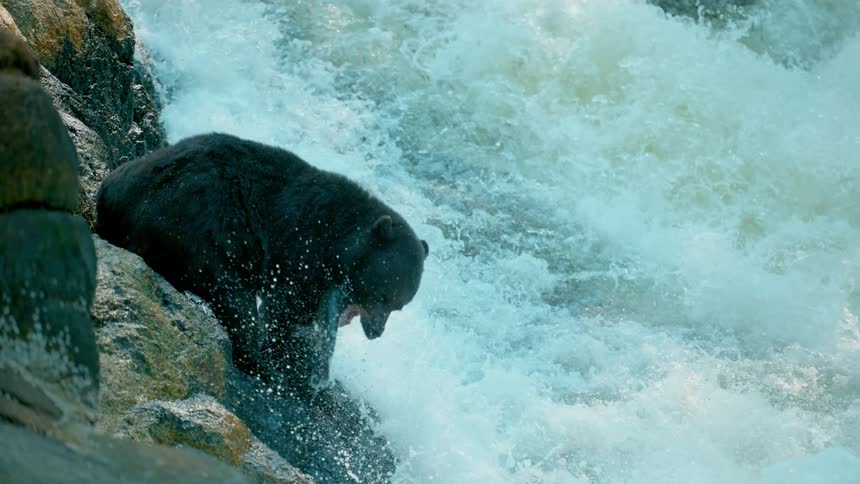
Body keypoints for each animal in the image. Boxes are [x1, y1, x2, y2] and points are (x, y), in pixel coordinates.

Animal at [96, 133, 429, 397]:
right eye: (383, 295)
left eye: (399, 306)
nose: (376, 331)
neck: (340, 240)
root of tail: (111, 195)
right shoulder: (300, 248)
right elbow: (285, 305)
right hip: (198, 221)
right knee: (232, 295)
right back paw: (263, 366)